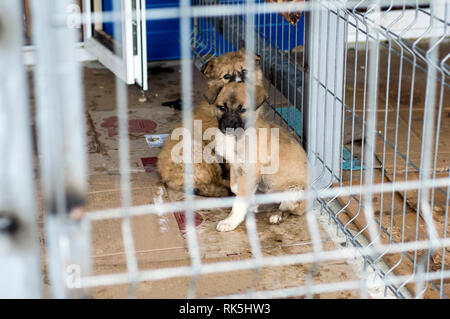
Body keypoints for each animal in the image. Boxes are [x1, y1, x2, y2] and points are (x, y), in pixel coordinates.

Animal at [213, 82, 308, 232]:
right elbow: (235, 187)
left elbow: (240, 199)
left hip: (295, 191)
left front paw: (230, 221)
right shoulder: (235, 166)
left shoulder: (250, 170)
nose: (228, 126)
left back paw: (278, 216)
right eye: (222, 107)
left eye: (242, 109)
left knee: (290, 210)